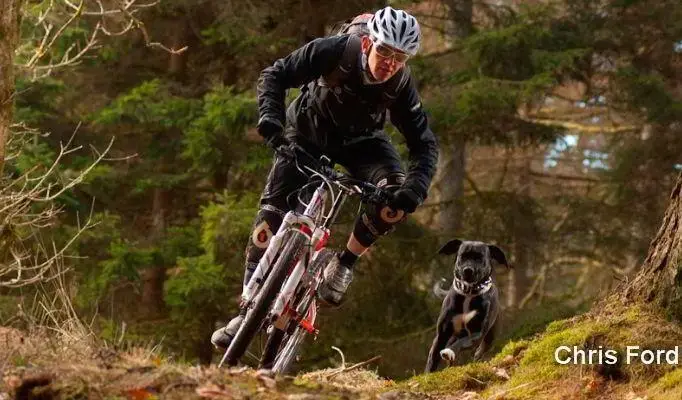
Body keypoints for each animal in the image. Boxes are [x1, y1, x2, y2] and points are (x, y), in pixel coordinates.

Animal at [422, 238, 508, 372]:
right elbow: (433, 357)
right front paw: (428, 374)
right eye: (462, 256)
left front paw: (449, 352)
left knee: (481, 350)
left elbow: (461, 343)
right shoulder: (442, 334)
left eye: (479, 258)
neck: (468, 293)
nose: (468, 270)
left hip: (490, 337)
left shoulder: (476, 333)